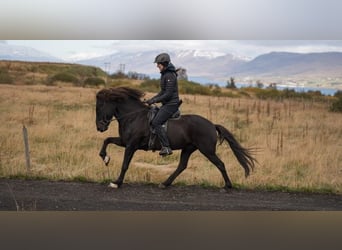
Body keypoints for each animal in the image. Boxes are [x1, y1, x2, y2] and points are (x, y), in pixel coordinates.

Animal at [95, 86, 255, 189]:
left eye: (100, 106)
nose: (99, 127)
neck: (133, 116)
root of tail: (211, 124)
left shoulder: (131, 145)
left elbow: (125, 164)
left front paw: (116, 182)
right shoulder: (125, 142)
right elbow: (107, 140)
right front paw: (105, 158)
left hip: (207, 150)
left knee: (220, 164)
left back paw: (228, 186)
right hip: (188, 149)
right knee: (181, 166)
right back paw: (165, 183)